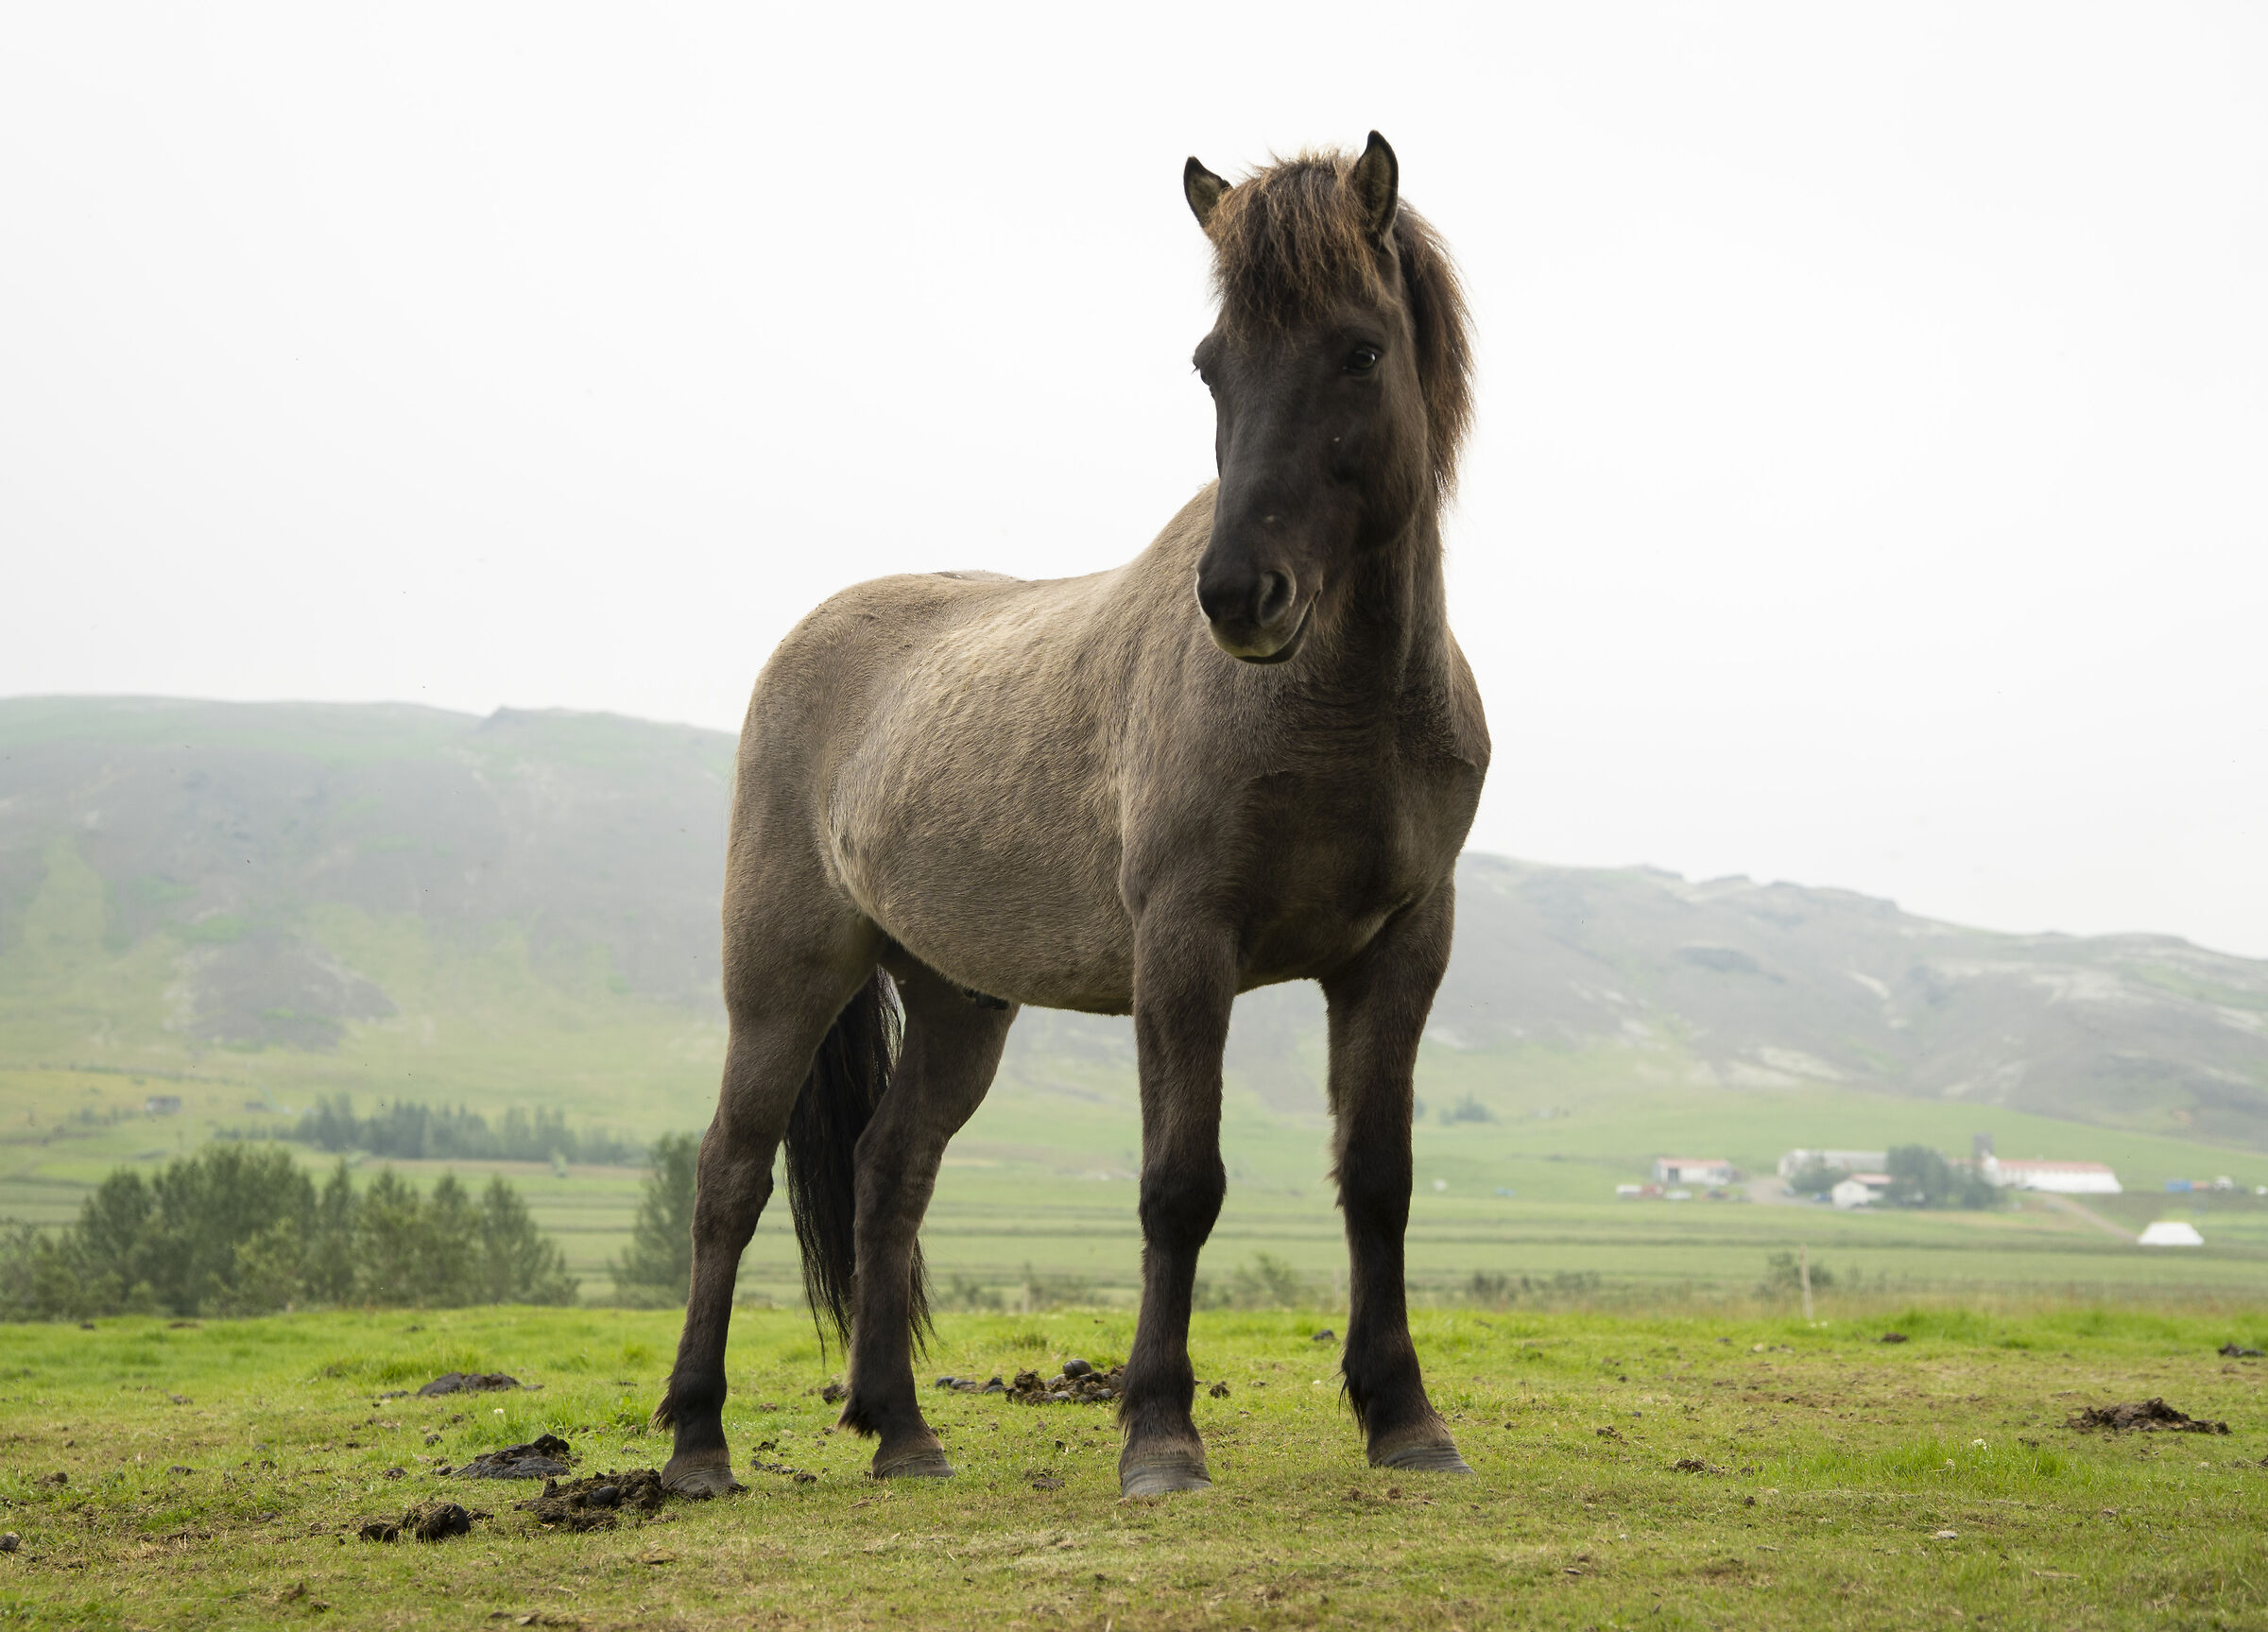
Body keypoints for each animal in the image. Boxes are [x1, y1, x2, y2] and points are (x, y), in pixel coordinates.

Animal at [656, 131, 1489, 1499]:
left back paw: (902, 1431)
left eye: (1360, 350)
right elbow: (1178, 1183)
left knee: (890, 1173)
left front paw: (1408, 1418)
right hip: (784, 972)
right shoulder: (1186, 947)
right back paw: (695, 1440)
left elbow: (1379, 1180)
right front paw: (1159, 1433)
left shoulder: (1402, 950)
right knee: (729, 1174)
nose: (1239, 594)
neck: (1333, 708)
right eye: (1212, 363)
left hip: (956, 998)